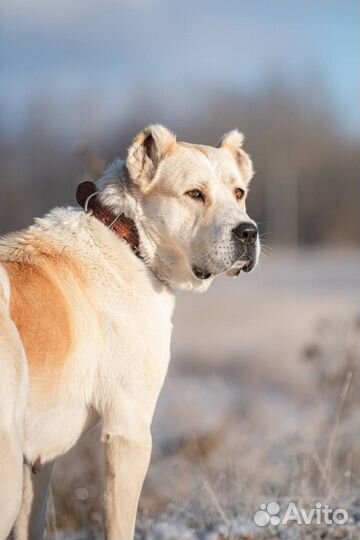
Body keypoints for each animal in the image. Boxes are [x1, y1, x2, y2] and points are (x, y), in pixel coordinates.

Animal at [0, 124, 258, 536]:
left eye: (239, 193)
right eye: (195, 194)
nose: (248, 233)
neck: (129, 239)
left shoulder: (37, 462)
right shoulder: (130, 430)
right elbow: (120, 526)